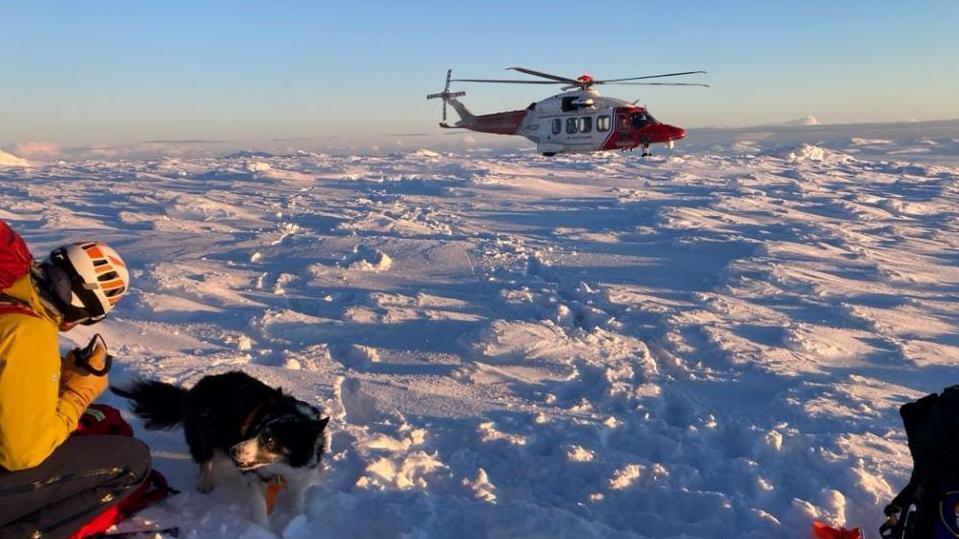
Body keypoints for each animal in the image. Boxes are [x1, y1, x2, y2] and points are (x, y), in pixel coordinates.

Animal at [110, 372, 330, 494]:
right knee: (205, 460)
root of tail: (192, 390)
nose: (233, 451)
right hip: (201, 435)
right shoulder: (253, 476)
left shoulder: (301, 476)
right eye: (255, 430)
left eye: (268, 439)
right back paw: (205, 484)